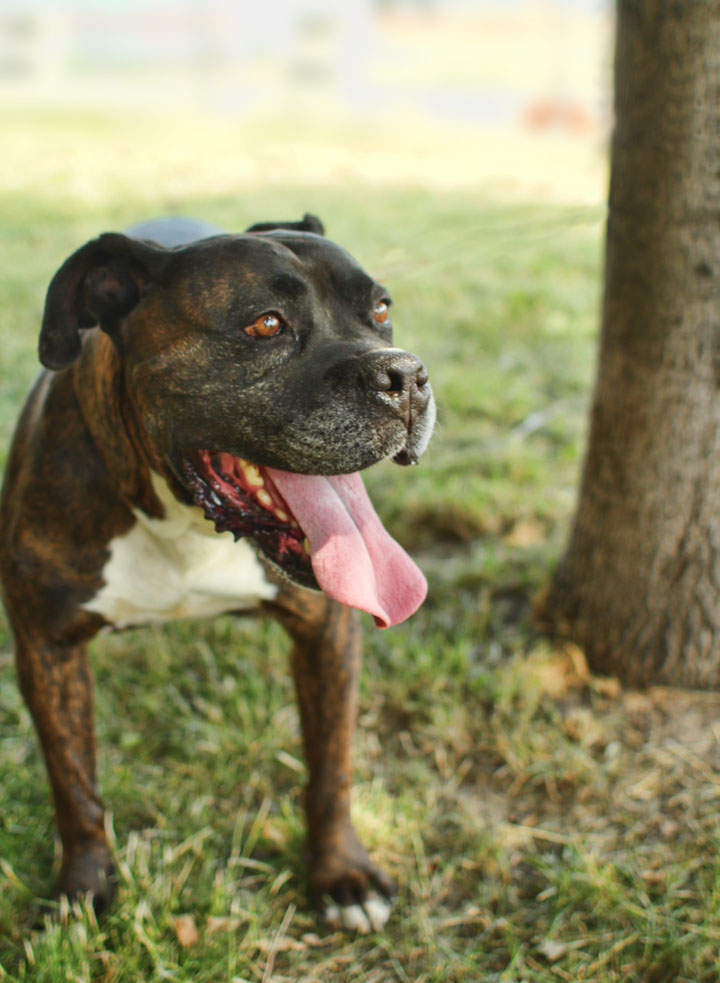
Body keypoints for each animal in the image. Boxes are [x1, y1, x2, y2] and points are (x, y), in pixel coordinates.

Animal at [0, 211, 434, 936]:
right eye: (266, 324)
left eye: (379, 310)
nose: (406, 374)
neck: (185, 521)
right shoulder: (47, 647)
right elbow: (73, 781)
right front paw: (84, 888)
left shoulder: (328, 635)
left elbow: (332, 766)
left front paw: (341, 873)